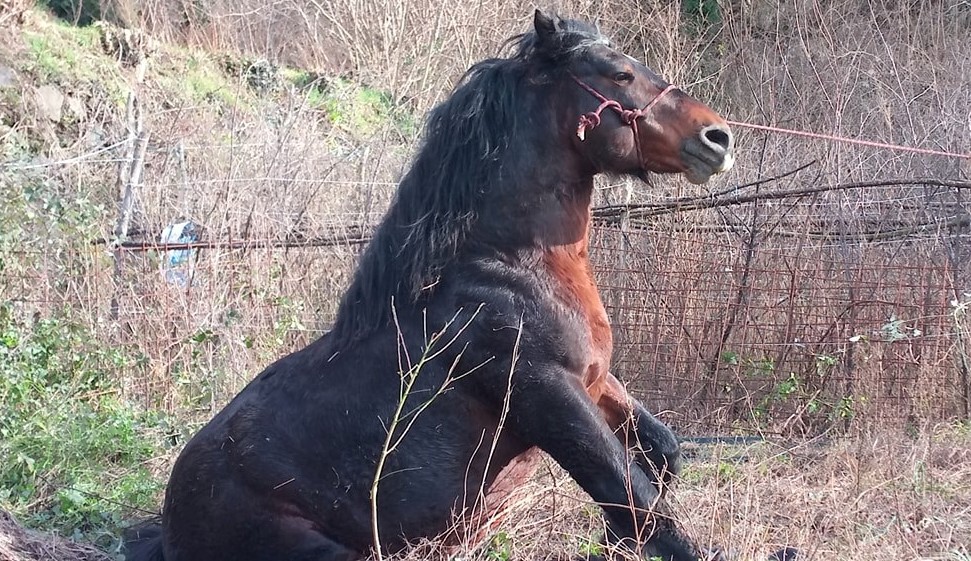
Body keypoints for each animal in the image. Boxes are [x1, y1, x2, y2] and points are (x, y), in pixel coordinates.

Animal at [125, 11, 735, 561]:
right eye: (619, 73)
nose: (718, 136)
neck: (509, 268)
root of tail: (171, 521)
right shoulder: (546, 392)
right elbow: (638, 498)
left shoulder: (595, 380)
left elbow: (663, 455)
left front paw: (614, 541)